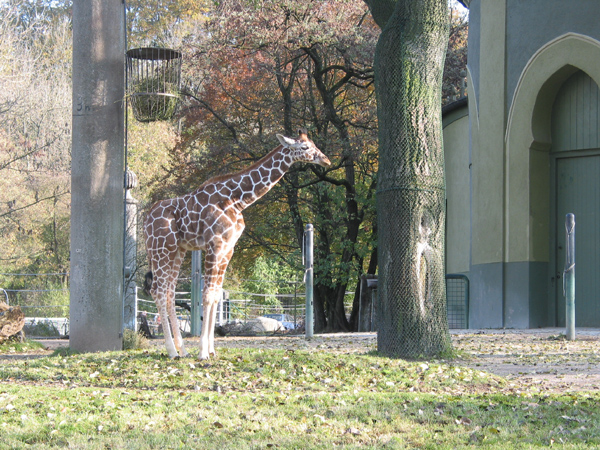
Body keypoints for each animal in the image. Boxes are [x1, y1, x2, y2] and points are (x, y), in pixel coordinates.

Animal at [145, 129, 332, 358]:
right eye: (305, 147)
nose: (326, 160)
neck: (237, 200)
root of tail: (146, 221)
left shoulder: (228, 248)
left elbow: (217, 296)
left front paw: (211, 350)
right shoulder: (214, 244)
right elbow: (207, 295)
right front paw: (203, 352)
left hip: (177, 251)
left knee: (169, 292)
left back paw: (183, 350)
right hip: (161, 249)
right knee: (158, 291)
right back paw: (172, 351)